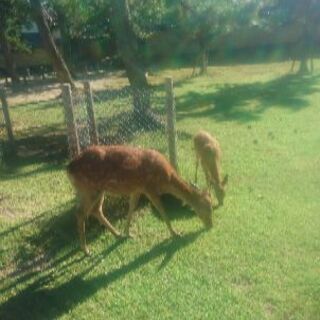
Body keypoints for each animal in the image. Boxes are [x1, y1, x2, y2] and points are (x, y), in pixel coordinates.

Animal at [67, 145, 212, 255]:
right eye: (207, 207)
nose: (210, 225)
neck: (166, 179)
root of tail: (69, 169)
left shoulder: (137, 189)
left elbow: (132, 207)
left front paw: (128, 233)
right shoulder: (149, 188)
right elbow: (162, 211)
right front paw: (175, 233)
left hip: (95, 190)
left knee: (95, 210)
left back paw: (117, 234)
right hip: (90, 188)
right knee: (81, 213)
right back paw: (86, 250)